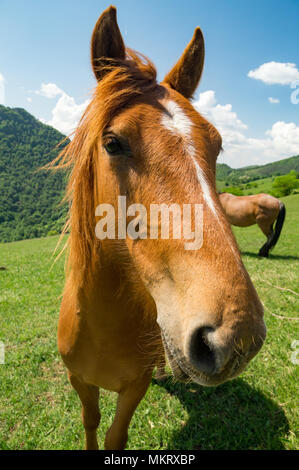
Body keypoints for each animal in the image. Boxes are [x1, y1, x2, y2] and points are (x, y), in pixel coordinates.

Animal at [55, 5, 268, 450]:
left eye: (217, 146)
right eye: (113, 142)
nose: (236, 337)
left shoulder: (133, 388)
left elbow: (115, 435)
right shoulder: (78, 380)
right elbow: (90, 421)